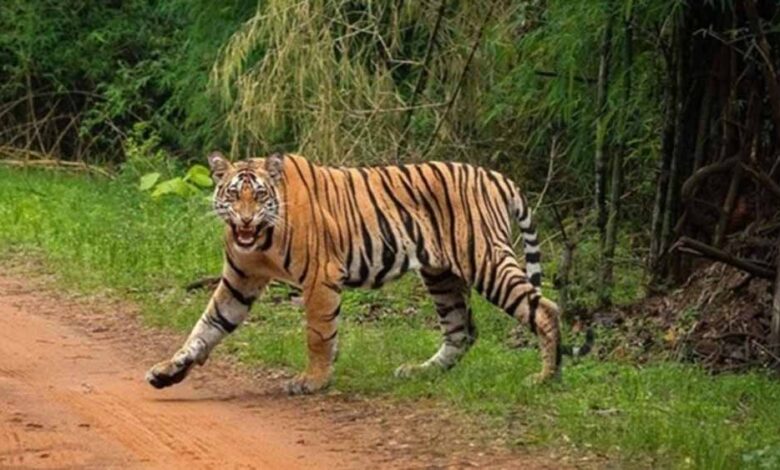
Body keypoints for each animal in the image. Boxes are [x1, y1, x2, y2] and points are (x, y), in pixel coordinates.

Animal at [146, 152, 591, 394]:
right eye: (232, 194)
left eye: (258, 195)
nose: (244, 220)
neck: (261, 241)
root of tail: (497, 176)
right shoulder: (239, 281)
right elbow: (206, 327)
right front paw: (168, 371)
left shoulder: (321, 277)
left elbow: (318, 334)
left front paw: (313, 381)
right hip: (441, 275)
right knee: (461, 331)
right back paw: (419, 372)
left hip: (485, 260)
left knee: (545, 309)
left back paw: (545, 378)